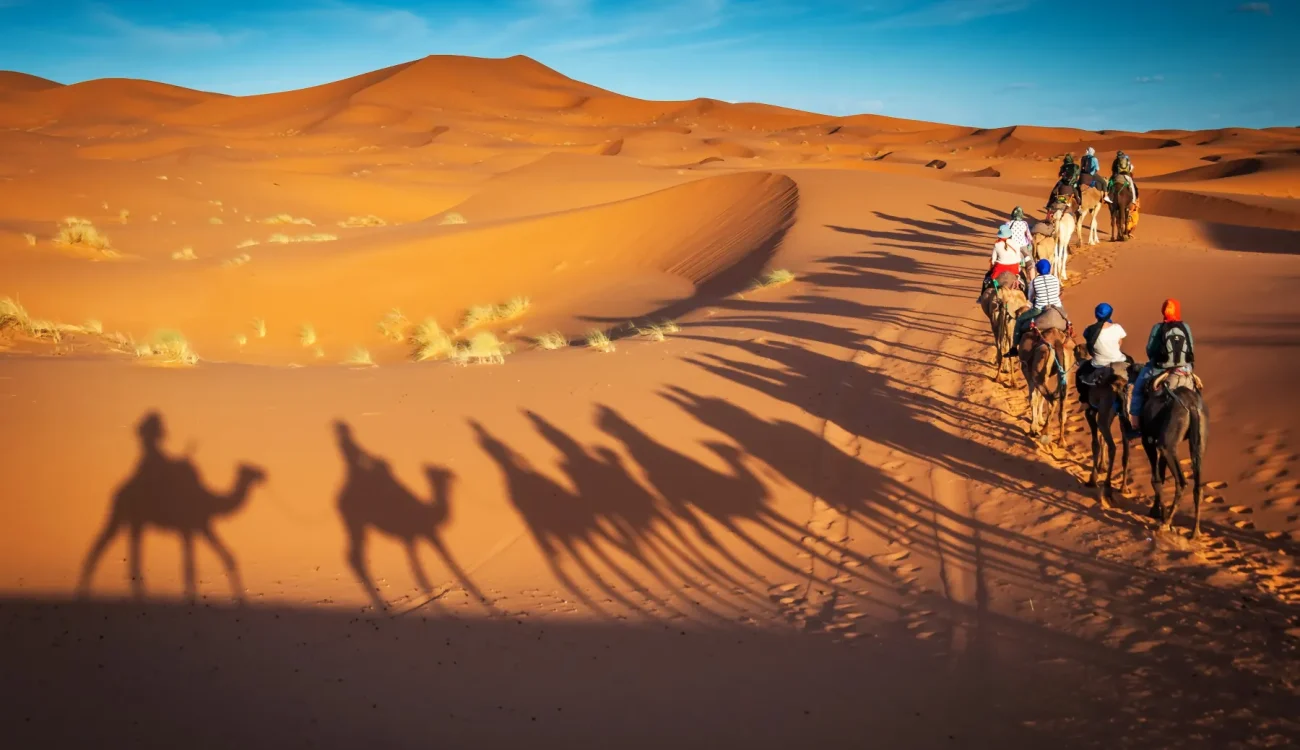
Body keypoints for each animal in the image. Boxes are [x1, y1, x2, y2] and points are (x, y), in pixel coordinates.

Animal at [78, 413, 266, 600]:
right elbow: (191, 566)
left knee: (127, 550)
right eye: (250, 468)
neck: (209, 499)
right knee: (105, 546)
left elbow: (223, 557)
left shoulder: (199, 526)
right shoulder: (191, 527)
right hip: (124, 514)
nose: (264, 474)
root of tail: (118, 491)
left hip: (134, 519)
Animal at [1013, 311, 1076, 444]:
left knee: (1052, 399)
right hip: (1066, 369)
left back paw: (1044, 432)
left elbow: (1033, 398)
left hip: (1038, 370)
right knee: (1061, 402)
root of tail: (1056, 341)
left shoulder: (1029, 373)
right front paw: (1040, 421)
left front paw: (1034, 427)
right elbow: (1040, 397)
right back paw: (1061, 441)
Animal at [1138, 369, 1206, 532]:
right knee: (1198, 485)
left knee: (1181, 481)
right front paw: (1155, 510)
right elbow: (1161, 475)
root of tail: (1192, 406)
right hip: (1198, 437)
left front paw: (1158, 513)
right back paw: (1195, 532)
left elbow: (1156, 478)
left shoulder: (1147, 439)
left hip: (1168, 443)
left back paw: (1166, 522)